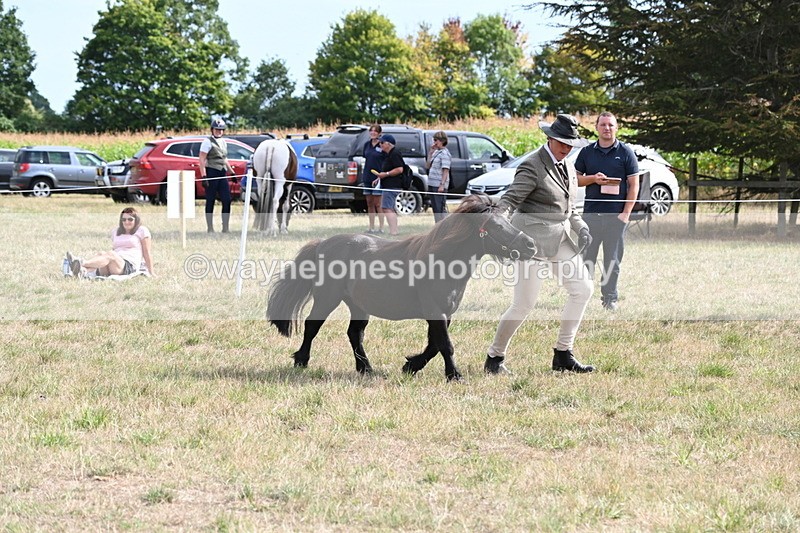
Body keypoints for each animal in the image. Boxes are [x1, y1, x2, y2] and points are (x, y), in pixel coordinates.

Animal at [266, 194, 537, 381]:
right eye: (496, 226)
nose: (531, 245)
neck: (441, 261)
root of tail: (323, 244)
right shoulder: (435, 311)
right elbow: (445, 345)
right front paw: (454, 375)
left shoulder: (444, 313)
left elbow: (434, 344)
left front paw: (410, 365)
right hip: (327, 299)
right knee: (312, 326)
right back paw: (301, 361)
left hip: (358, 305)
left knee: (355, 334)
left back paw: (366, 368)